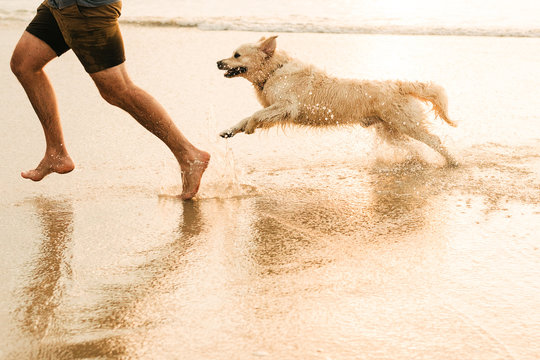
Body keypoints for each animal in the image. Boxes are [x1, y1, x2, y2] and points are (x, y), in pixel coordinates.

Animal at [217, 36, 458, 166]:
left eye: (236, 55)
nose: (218, 62)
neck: (274, 71)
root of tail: (399, 84)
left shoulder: (287, 106)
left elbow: (256, 115)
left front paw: (250, 126)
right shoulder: (277, 109)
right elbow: (247, 117)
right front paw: (230, 130)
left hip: (406, 123)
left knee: (434, 140)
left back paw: (453, 161)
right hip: (391, 130)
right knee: (412, 146)